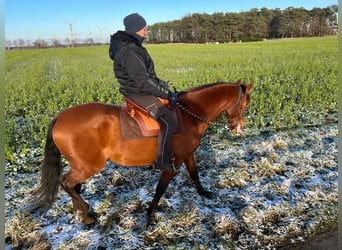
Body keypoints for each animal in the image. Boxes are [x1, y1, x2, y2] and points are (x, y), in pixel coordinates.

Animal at [30, 80, 252, 225]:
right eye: (246, 103)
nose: (239, 128)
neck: (190, 114)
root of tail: (59, 117)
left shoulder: (188, 155)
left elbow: (195, 174)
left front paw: (204, 193)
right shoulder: (174, 162)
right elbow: (160, 189)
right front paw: (150, 216)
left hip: (82, 165)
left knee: (74, 186)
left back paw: (83, 213)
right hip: (88, 165)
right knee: (66, 183)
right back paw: (85, 213)